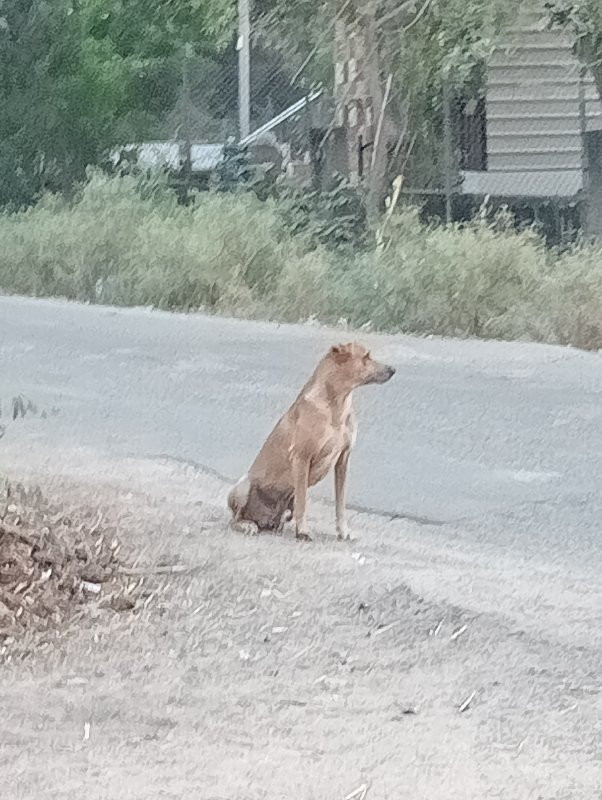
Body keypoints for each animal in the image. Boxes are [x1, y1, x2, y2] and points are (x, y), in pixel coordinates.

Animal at [226, 340, 394, 540]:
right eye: (366, 356)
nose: (392, 369)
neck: (336, 404)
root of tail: (262, 520)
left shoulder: (343, 460)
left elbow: (340, 503)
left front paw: (343, 531)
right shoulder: (301, 458)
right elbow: (303, 503)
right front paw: (303, 531)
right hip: (243, 486)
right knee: (235, 519)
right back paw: (247, 525)